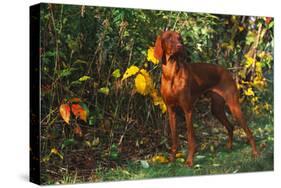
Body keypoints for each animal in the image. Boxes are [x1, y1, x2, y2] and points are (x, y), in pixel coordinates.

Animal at [153, 30, 258, 167]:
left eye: (179, 38)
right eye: (169, 38)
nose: (180, 46)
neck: (171, 74)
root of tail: (226, 70)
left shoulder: (188, 110)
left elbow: (191, 138)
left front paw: (189, 161)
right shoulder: (171, 111)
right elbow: (174, 138)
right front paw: (171, 159)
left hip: (234, 106)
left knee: (249, 132)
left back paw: (255, 153)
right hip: (216, 109)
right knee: (230, 126)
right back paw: (229, 147)